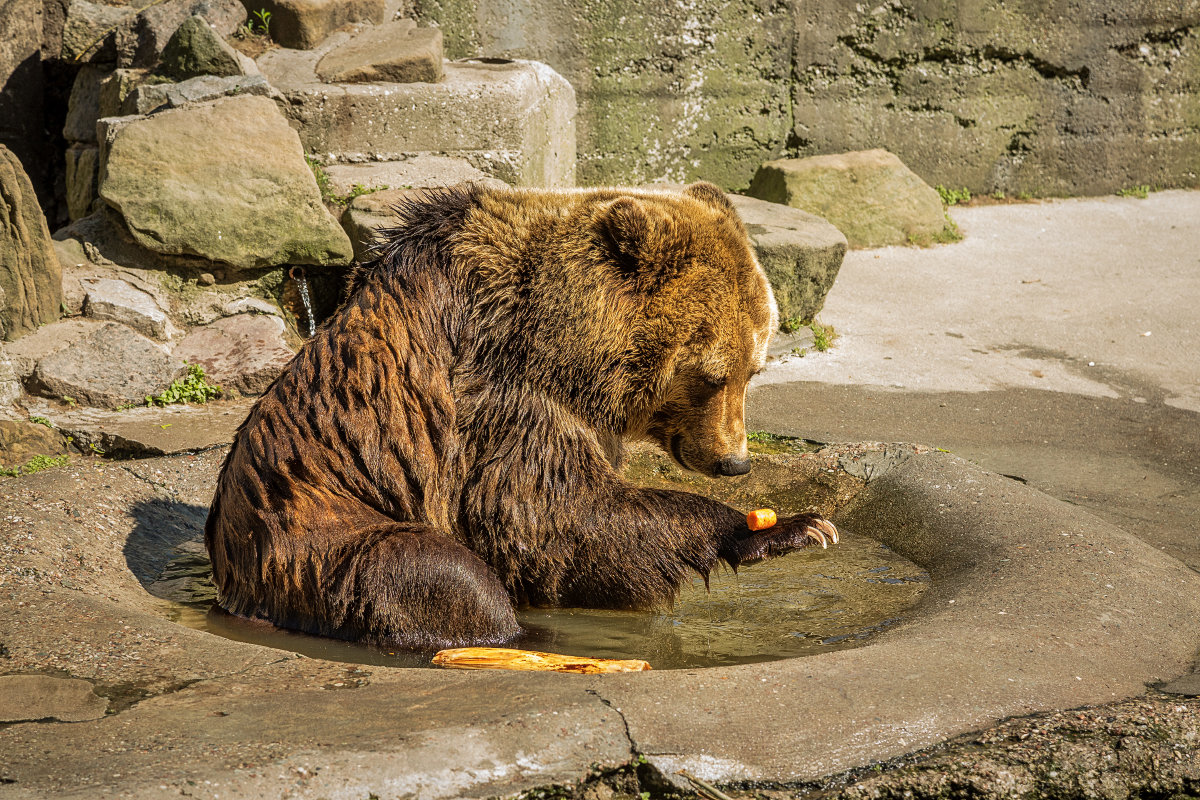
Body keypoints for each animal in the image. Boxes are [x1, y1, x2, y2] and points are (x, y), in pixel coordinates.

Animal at [206, 183, 840, 652]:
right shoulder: (493, 384)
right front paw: (786, 527)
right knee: (431, 571)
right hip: (314, 532)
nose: (734, 462)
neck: (564, 345)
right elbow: (547, 510)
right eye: (712, 375)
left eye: (754, 369)